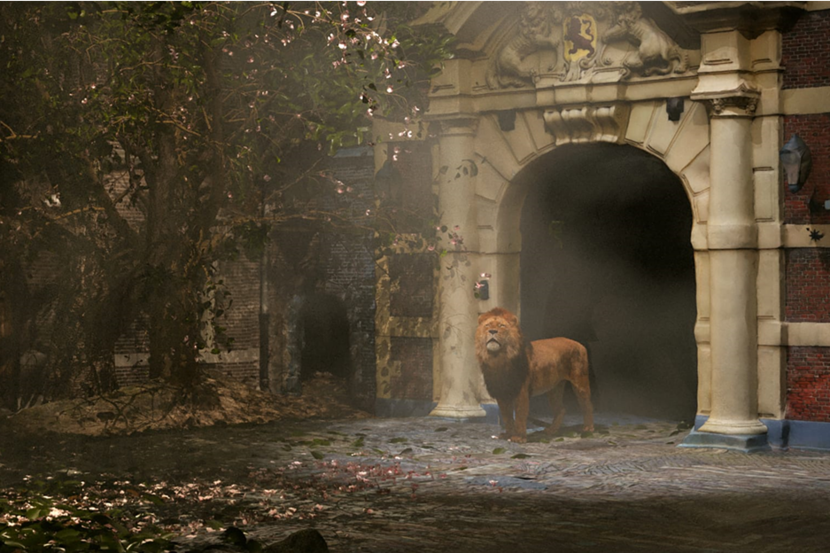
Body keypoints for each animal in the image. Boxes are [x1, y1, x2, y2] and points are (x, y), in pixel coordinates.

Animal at [478, 308, 596, 442]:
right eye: (487, 325)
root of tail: (579, 344)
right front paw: (508, 435)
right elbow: (506, 416)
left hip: (580, 383)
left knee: (587, 404)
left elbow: (520, 414)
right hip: (554, 389)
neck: (498, 358)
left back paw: (588, 428)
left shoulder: (521, 391)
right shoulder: (501, 393)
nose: (492, 331)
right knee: (561, 409)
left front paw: (519, 437)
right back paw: (551, 430)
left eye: (501, 325)